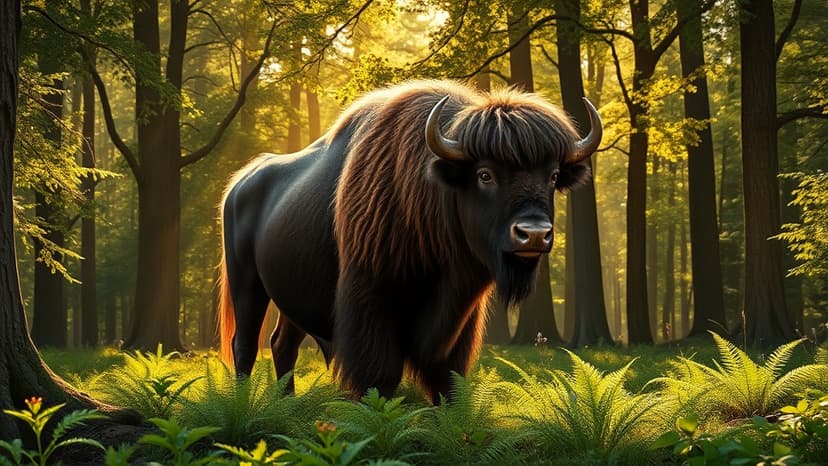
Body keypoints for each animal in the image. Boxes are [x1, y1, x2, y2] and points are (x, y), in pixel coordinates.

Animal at [218, 80, 601, 403]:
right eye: (485, 174)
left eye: (553, 175)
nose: (534, 233)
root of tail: (239, 185)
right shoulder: (370, 305)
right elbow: (379, 378)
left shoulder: (458, 320)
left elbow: (445, 380)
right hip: (246, 283)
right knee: (245, 345)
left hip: (290, 300)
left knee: (282, 344)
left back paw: (287, 404)